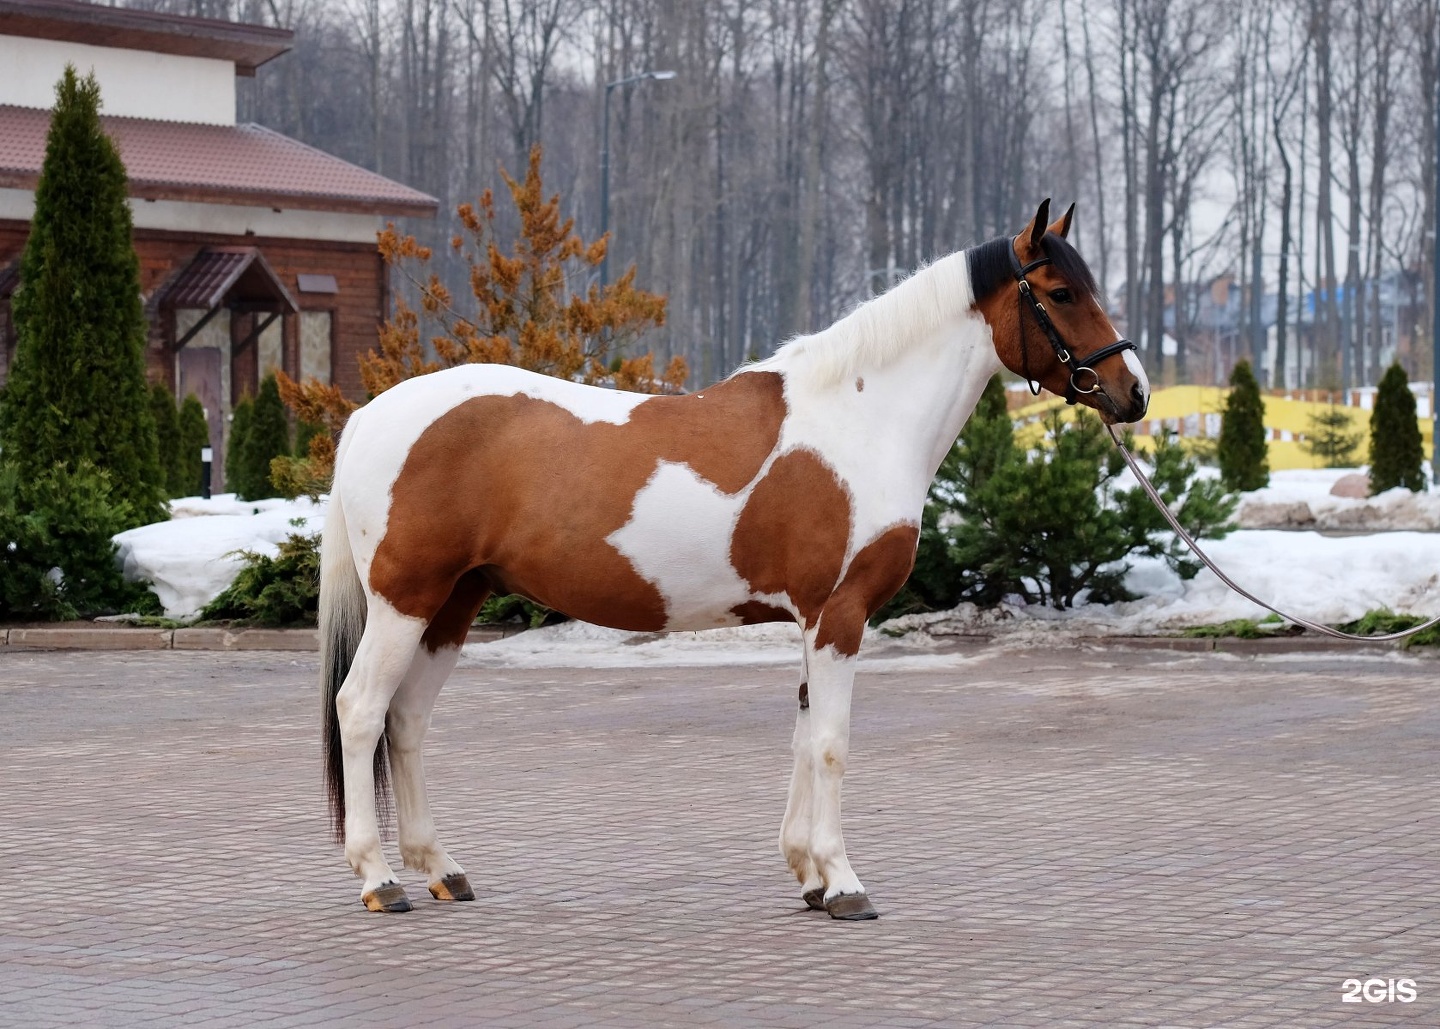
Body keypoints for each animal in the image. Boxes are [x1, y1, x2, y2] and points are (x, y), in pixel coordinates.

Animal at [321, 197, 1152, 921]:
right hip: (406, 601)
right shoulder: (840, 615)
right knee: (361, 710)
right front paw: (845, 883)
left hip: (453, 604)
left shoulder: (813, 620)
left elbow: (804, 735)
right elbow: (831, 745)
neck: (858, 417)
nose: (1133, 392)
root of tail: (369, 415)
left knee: (409, 719)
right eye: (1060, 291)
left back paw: (442, 869)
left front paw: (809, 876)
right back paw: (379, 878)